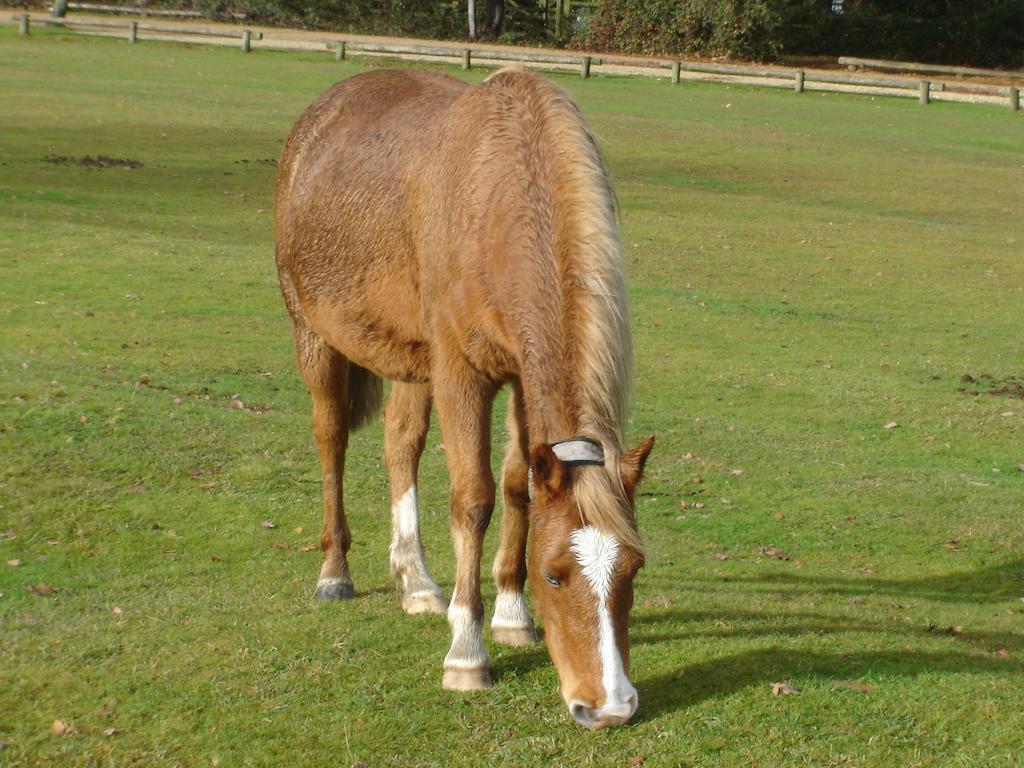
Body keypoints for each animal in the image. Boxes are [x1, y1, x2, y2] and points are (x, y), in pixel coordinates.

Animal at [276, 64, 651, 729]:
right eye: (555, 576)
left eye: (632, 568)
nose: (609, 707)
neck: (500, 205)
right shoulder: (461, 372)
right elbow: (473, 499)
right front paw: (467, 652)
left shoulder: (521, 376)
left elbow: (516, 487)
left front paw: (510, 614)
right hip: (314, 335)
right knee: (331, 441)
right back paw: (335, 572)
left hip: (411, 360)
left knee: (400, 445)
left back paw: (417, 580)